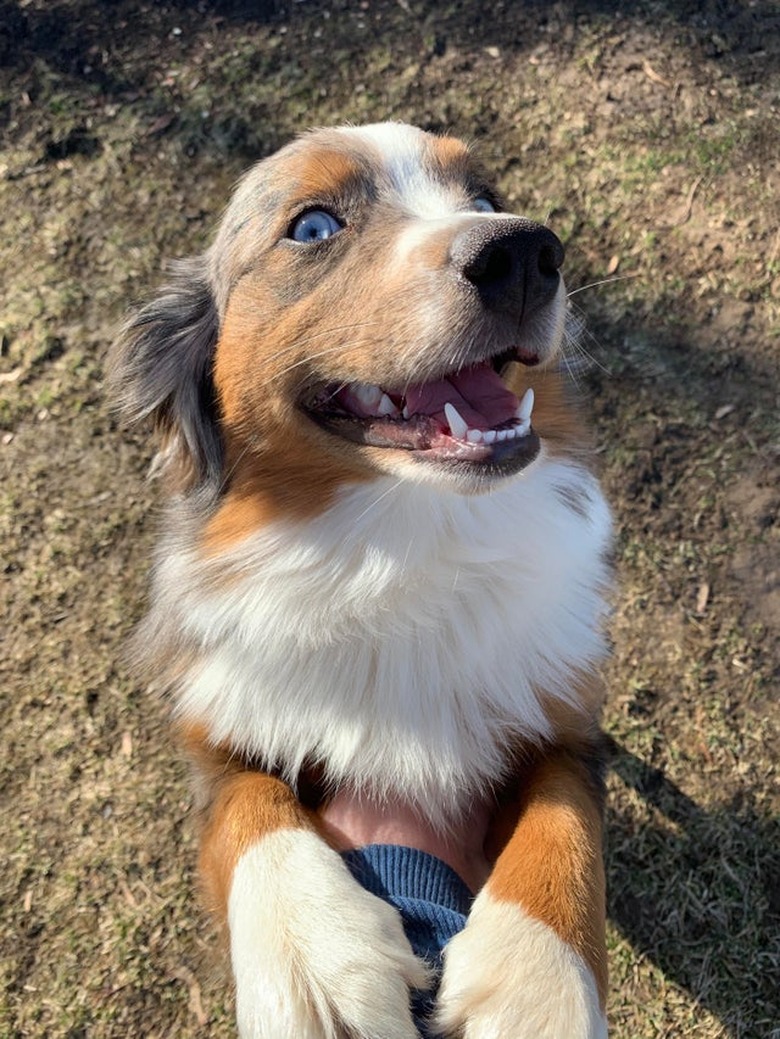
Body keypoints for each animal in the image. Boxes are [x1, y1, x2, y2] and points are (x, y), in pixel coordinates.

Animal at [110, 123, 614, 1039]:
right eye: (313, 226)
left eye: (484, 197)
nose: (526, 252)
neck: (400, 541)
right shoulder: (216, 735)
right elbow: (251, 808)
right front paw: (313, 960)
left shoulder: (565, 724)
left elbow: (565, 828)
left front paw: (538, 989)